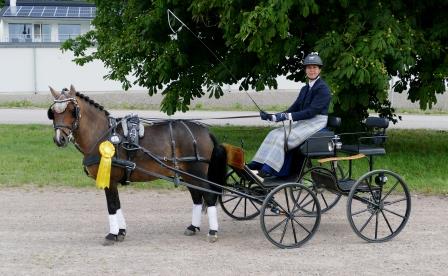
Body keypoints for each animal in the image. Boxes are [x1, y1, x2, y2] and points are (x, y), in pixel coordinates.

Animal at [48, 85, 228, 245]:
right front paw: (121, 232)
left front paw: (112, 235)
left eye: (72, 110)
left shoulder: (109, 180)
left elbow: (111, 206)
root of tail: (205, 131)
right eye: (53, 113)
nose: (59, 139)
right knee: (197, 197)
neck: (103, 136)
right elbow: (117, 205)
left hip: (197, 172)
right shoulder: (113, 181)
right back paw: (192, 227)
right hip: (187, 174)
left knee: (209, 196)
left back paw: (213, 232)